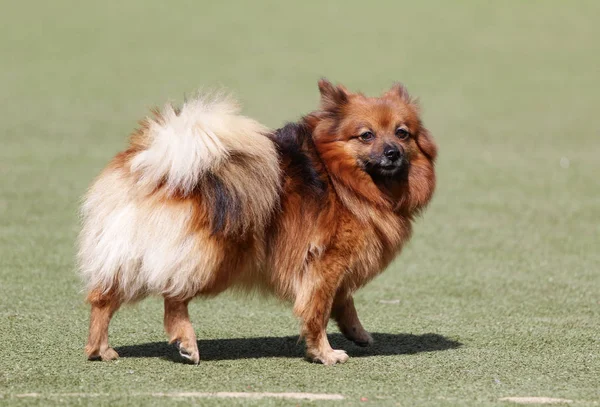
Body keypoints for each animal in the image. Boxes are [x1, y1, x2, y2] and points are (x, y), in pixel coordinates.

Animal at [78, 79, 436, 366]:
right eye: (366, 136)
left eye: (402, 133)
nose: (392, 152)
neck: (341, 178)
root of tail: (158, 165)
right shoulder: (326, 263)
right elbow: (317, 311)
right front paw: (325, 353)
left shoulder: (335, 268)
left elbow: (343, 302)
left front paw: (357, 333)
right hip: (215, 259)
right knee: (173, 297)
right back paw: (186, 343)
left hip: (130, 255)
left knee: (103, 298)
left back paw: (100, 349)